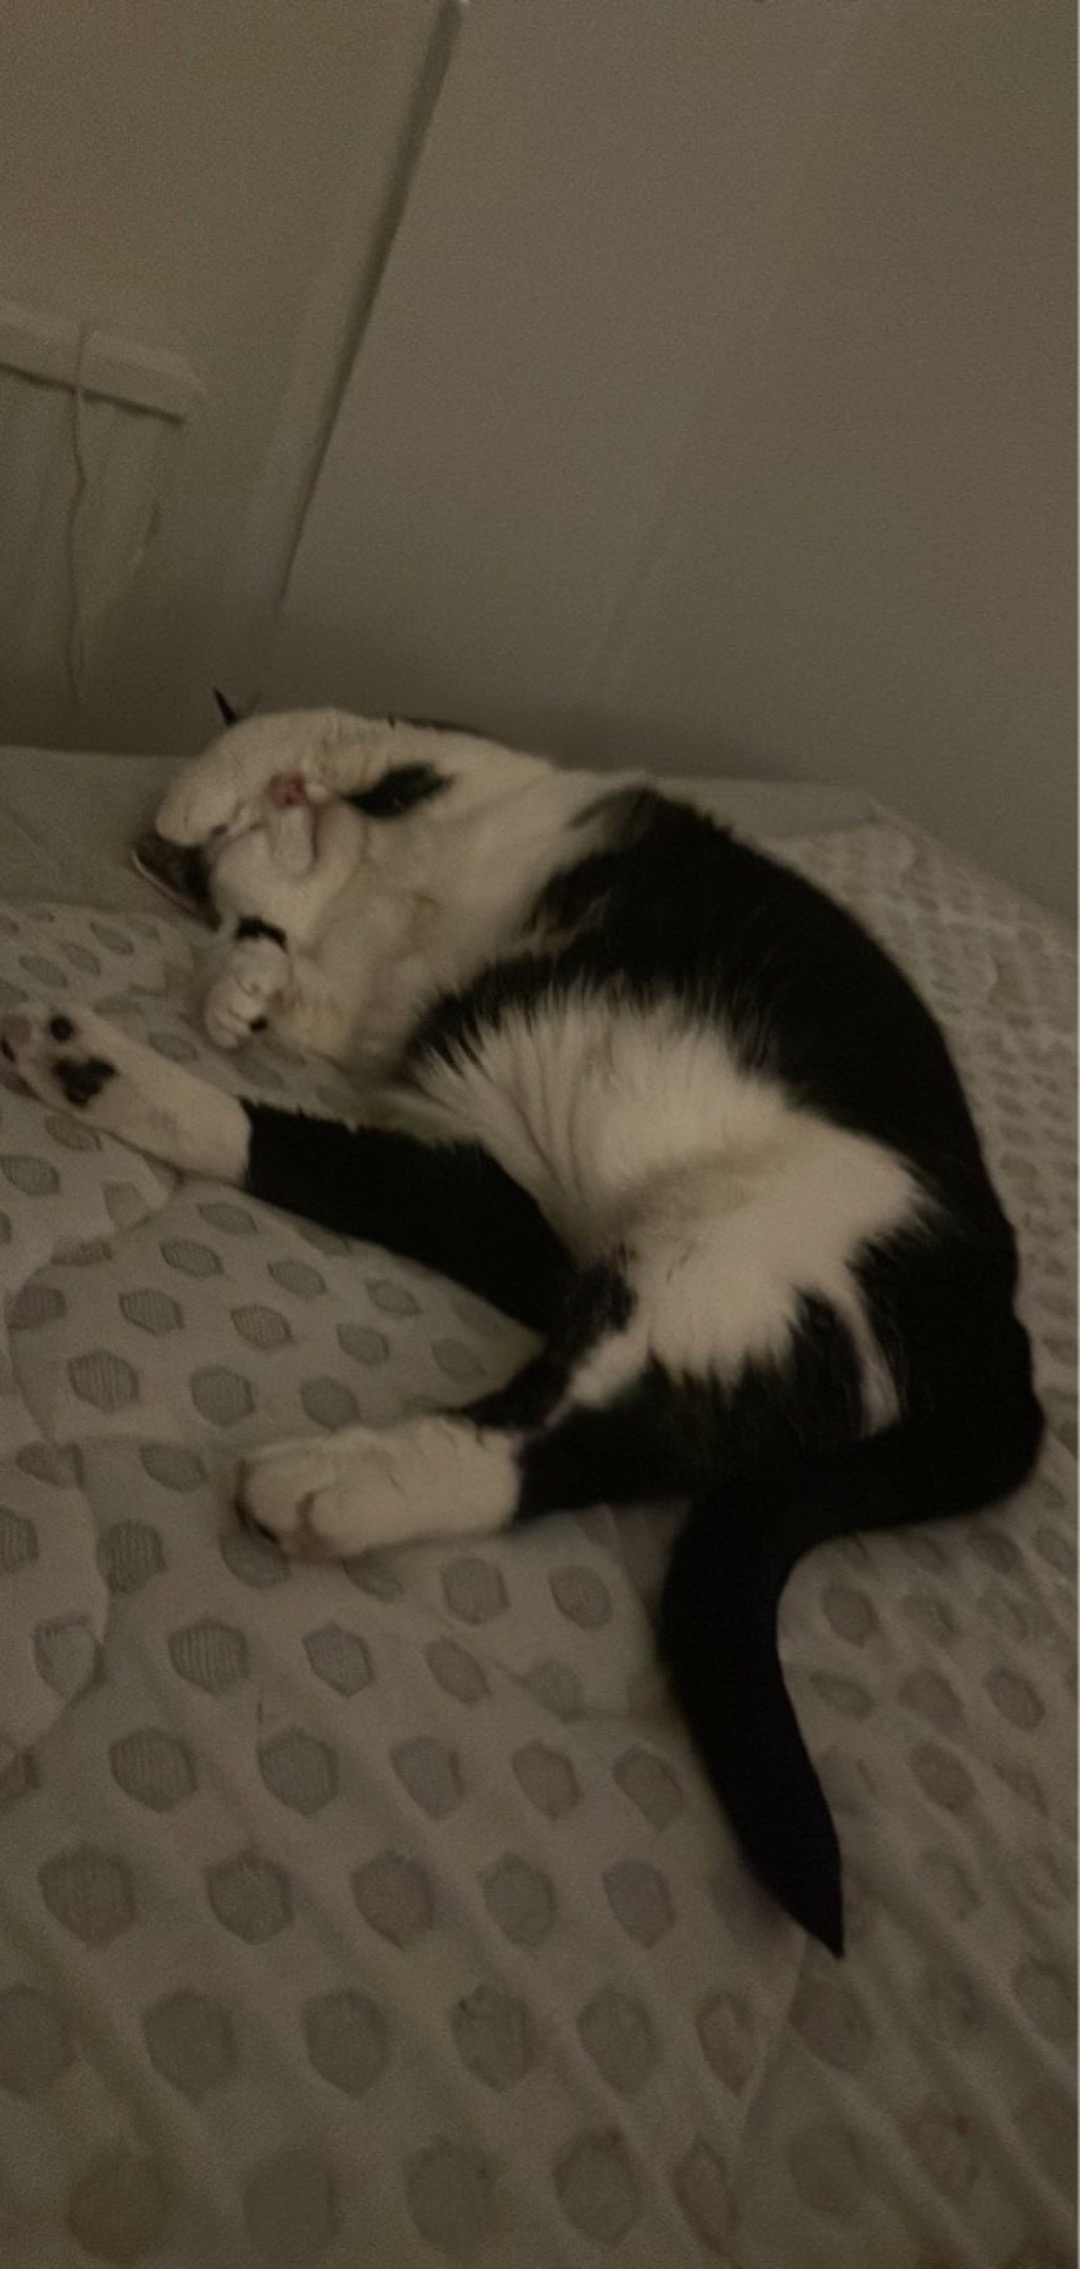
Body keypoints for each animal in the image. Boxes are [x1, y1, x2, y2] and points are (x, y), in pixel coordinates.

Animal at [1, 708, 1043, 1954]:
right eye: (239, 882)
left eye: (269, 818)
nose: (288, 811)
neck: (379, 895)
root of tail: (1003, 1329)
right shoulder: (403, 1085)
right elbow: (285, 995)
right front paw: (237, 981)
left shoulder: (483, 771)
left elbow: (324, 722)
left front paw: (213, 794)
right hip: (550, 1224)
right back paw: (97, 1071)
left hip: (718, 1253)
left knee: (570, 1430)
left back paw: (329, 1479)